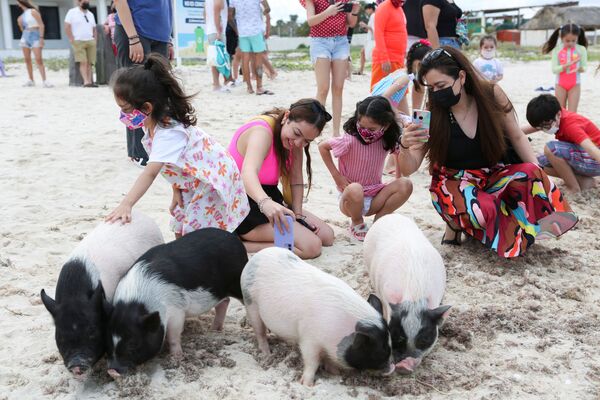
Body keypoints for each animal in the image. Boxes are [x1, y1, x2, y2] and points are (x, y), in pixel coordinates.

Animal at [104, 227, 247, 376]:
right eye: (107, 341)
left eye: (133, 344)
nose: (111, 370)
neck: (137, 299)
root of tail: (233, 237)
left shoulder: (177, 310)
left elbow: (173, 334)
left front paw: (176, 357)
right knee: (225, 301)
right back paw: (214, 329)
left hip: (238, 280)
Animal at [239, 248, 394, 386]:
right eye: (379, 350)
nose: (392, 368)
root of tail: (256, 257)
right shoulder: (309, 339)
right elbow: (312, 361)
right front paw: (307, 384)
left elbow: (327, 359)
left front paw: (335, 373)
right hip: (250, 304)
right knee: (260, 332)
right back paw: (267, 354)